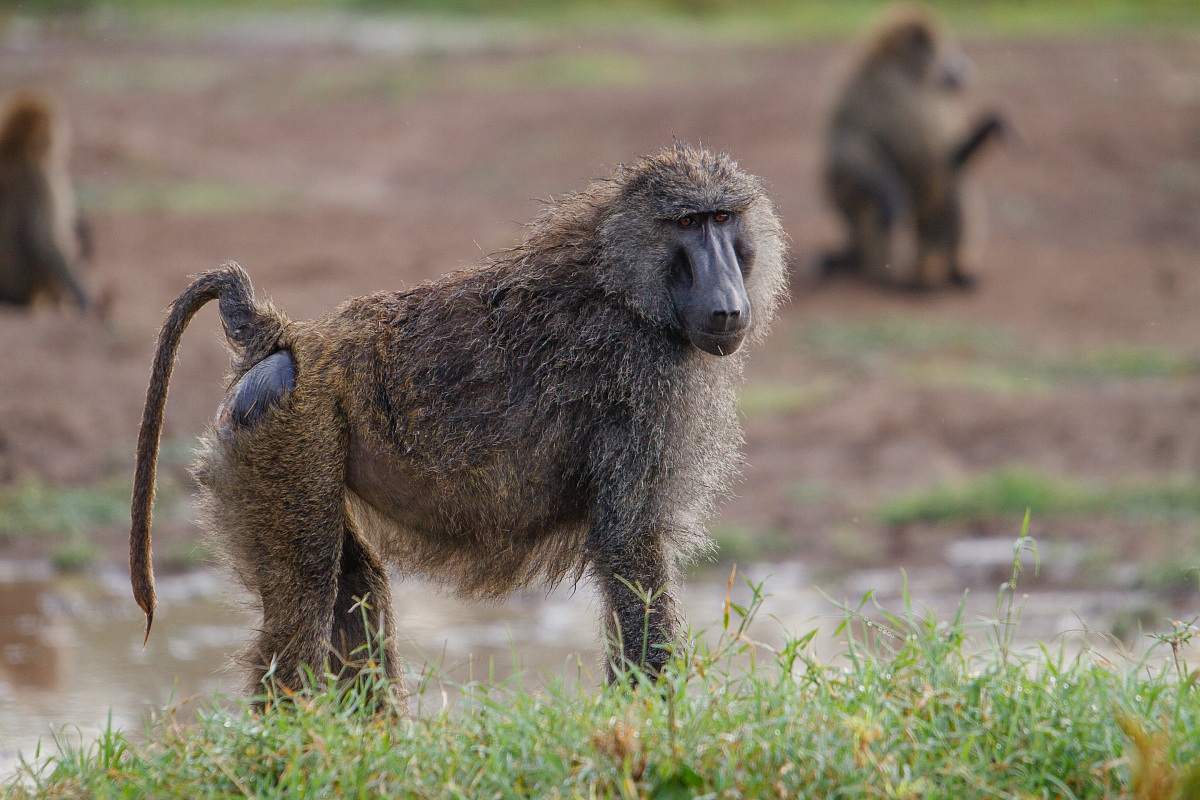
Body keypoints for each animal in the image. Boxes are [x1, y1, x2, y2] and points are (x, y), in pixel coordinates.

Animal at [130, 144, 788, 702]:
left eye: (723, 218)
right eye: (688, 225)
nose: (727, 306)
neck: (624, 284)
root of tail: (292, 338)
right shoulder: (643, 384)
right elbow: (631, 550)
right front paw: (656, 722)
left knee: (353, 588)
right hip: (288, 431)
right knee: (304, 604)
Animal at [820, 4, 1005, 290]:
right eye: (946, 49)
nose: (965, 68)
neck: (908, 75)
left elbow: (953, 157)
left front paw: (986, 130)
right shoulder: (862, 91)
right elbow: (847, 147)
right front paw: (888, 193)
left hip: (929, 227)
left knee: (956, 181)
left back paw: (955, 269)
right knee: (875, 197)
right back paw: (899, 277)